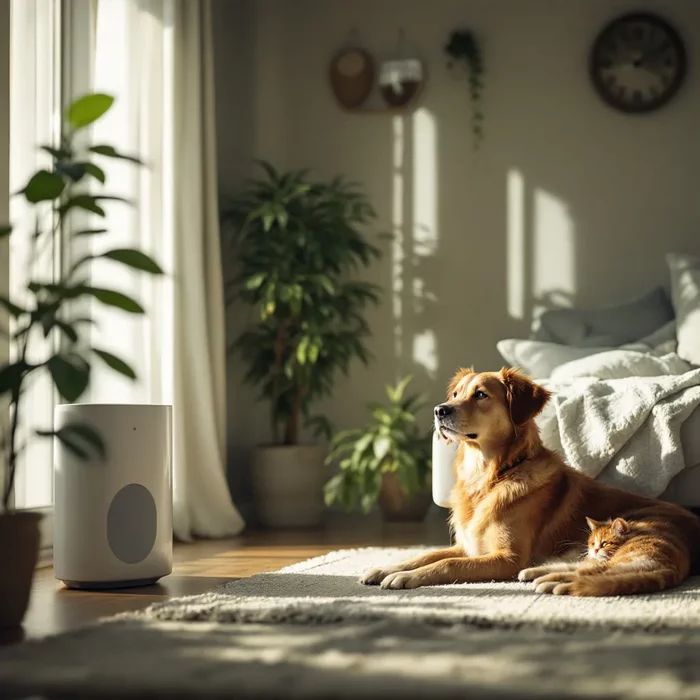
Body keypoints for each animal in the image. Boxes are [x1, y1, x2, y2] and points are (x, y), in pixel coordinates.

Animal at [524, 508, 692, 596]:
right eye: (592, 543)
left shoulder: (593, 563)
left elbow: (561, 569)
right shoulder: (586, 562)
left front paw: (536, 577)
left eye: (605, 543)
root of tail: (671, 569)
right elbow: (557, 566)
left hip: (616, 565)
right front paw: (528, 571)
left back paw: (548, 585)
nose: (595, 549)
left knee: (577, 578)